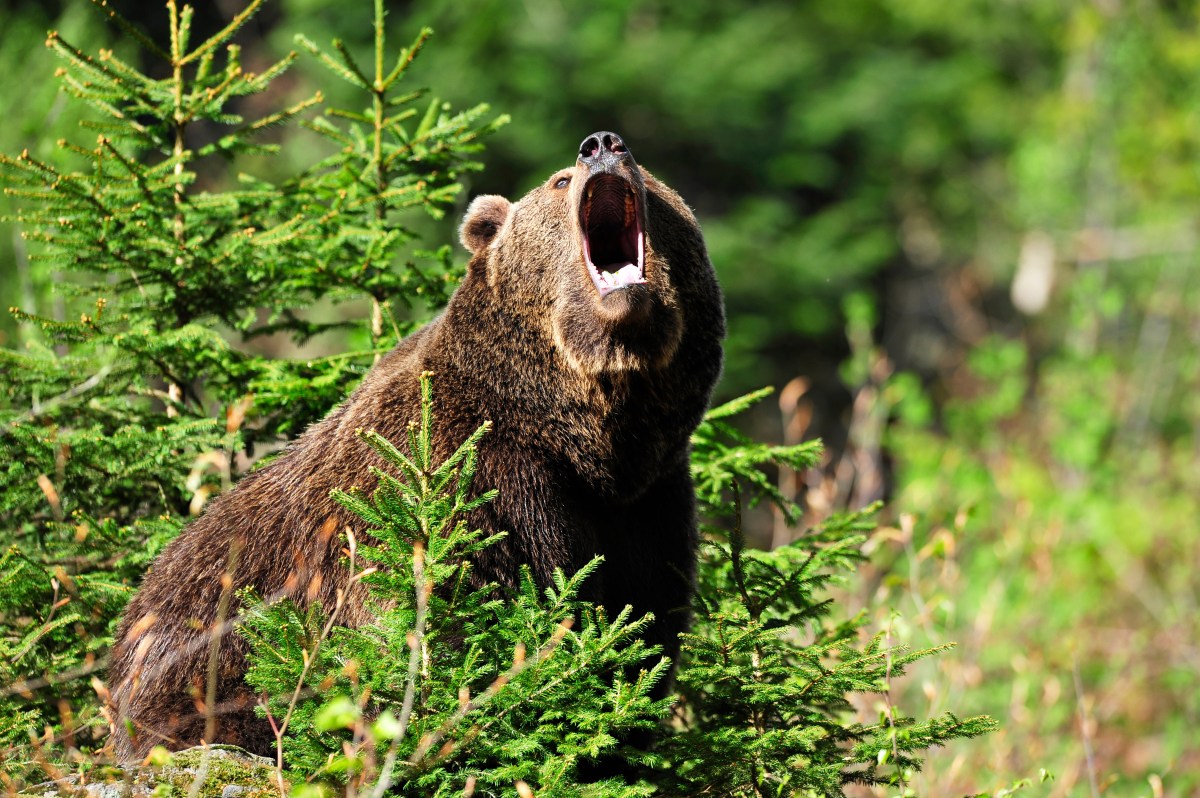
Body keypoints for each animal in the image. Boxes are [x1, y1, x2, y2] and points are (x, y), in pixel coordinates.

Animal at [105, 130, 720, 758]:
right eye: (560, 181)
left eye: (648, 173)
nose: (601, 144)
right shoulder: (462, 478)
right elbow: (449, 616)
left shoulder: (647, 502)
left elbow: (641, 626)